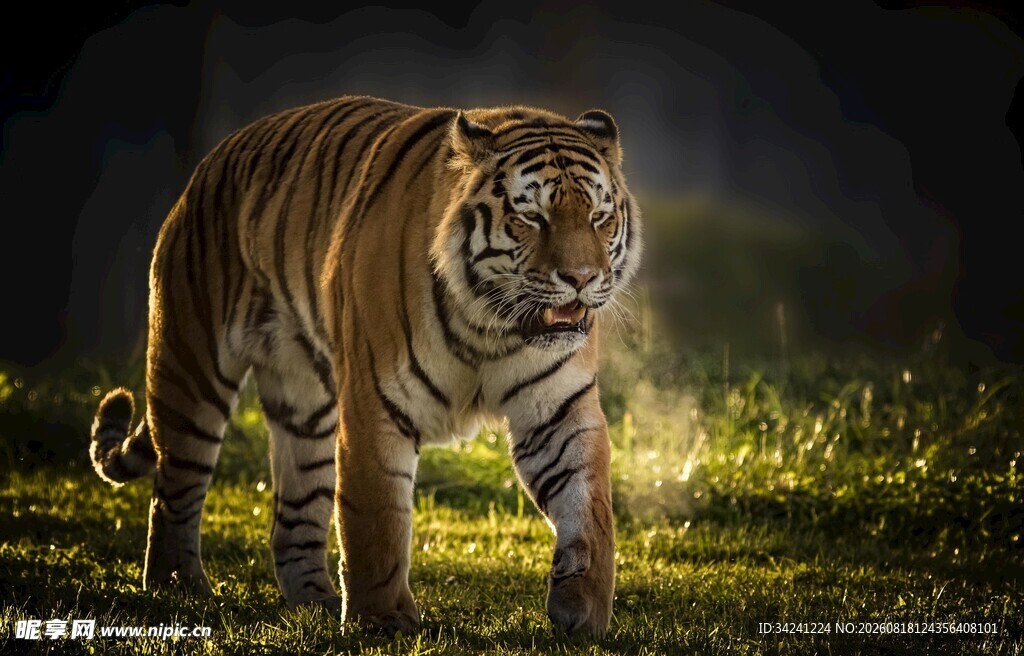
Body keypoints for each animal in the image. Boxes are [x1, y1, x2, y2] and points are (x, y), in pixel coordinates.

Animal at [88, 95, 641, 637]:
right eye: (532, 218)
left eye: (598, 217)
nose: (581, 278)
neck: (492, 326)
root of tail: (210, 162)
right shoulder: (376, 404)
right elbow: (375, 518)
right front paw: (382, 620)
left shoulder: (559, 410)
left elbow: (588, 509)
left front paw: (583, 613)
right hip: (192, 368)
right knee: (175, 489)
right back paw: (178, 586)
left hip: (305, 410)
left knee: (292, 520)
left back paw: (315, 603)